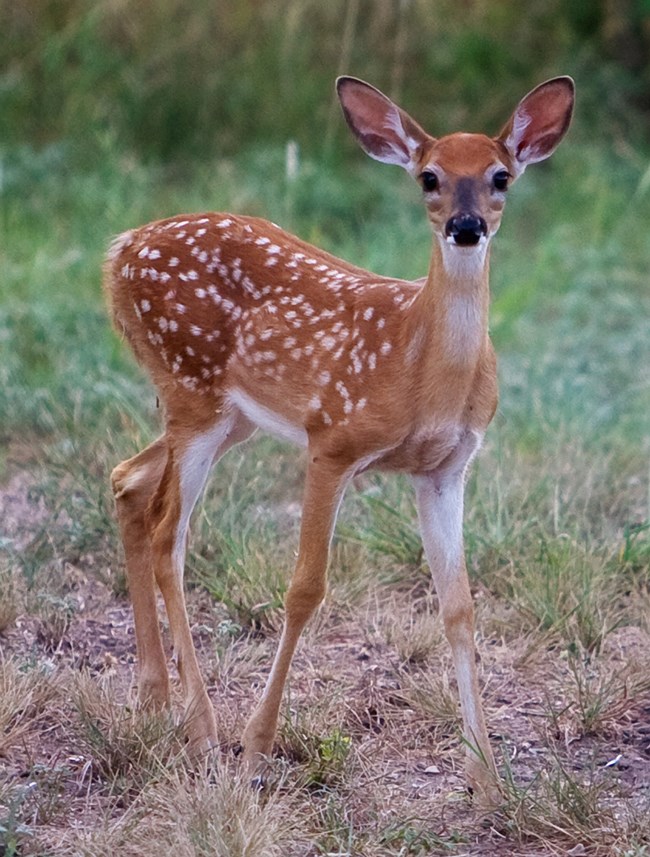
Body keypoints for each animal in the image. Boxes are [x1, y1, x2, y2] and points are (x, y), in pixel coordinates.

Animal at [105, 75, 574, 806]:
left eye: (500, 176)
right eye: (429, 177)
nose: (465, 227)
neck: (421, 369)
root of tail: (122, 247)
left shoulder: (446, 467)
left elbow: (460, 606)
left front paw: (488, 781)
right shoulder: (332, 440)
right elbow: (305, 589)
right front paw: (256, 750)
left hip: (226, 416)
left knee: (127, 480)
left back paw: (155, 698)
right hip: (192, 393)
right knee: (166, 534)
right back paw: (204, 731)